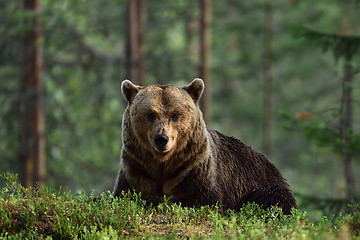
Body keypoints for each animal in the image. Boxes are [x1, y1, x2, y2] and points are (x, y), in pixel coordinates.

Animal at [114, 78, 296, 214]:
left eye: (175, 115)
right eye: (151, 114)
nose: (162, 138)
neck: (163, 162)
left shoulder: (194, 164)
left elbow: (202, 199)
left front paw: (151, 199)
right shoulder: (136, 166)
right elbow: (122, 194)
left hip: (264, 182)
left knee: (270, 196)